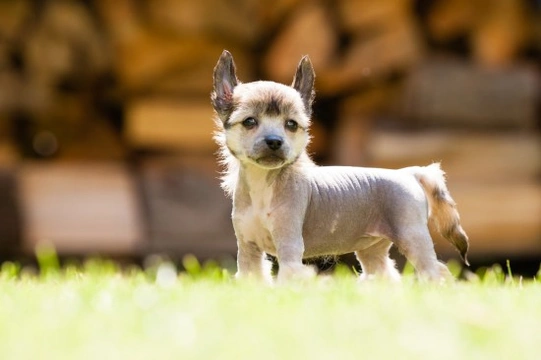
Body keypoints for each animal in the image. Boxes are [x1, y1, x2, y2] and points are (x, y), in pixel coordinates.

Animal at [211, 49, 468, 282]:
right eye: (249, 121)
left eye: (291, 124)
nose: (274, 141)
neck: (263, 184)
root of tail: (408, 173)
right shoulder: (249, 251)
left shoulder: (289, 248)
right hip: (372, 249)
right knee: (386, 273)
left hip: (412, 236)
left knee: (435, 271)